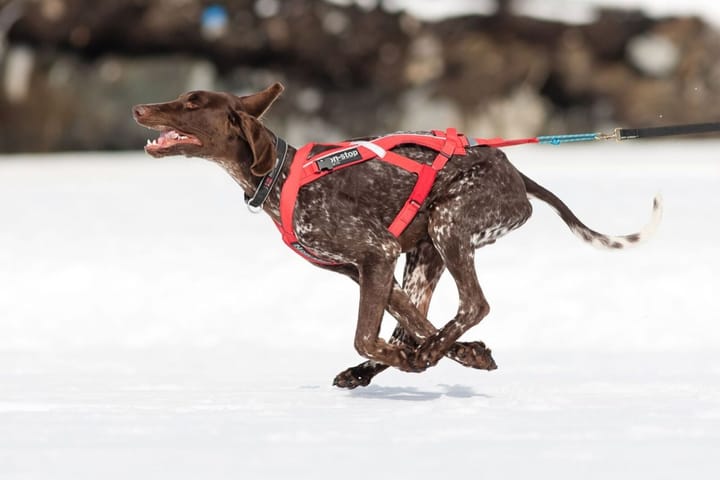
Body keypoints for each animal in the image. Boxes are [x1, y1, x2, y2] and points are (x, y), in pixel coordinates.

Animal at [132, 84, 660, 388]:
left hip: (449, 224)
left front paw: (417, 360)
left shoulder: (375, 253)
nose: (138, 108)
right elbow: (407, 325)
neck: (280, 176)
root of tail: (516, 173)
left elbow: (366, 336)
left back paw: (422, 354)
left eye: (192, 104)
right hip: (425, 254)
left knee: (474, 304)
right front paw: (467, 355)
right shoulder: (363, 269)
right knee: (424, 320)